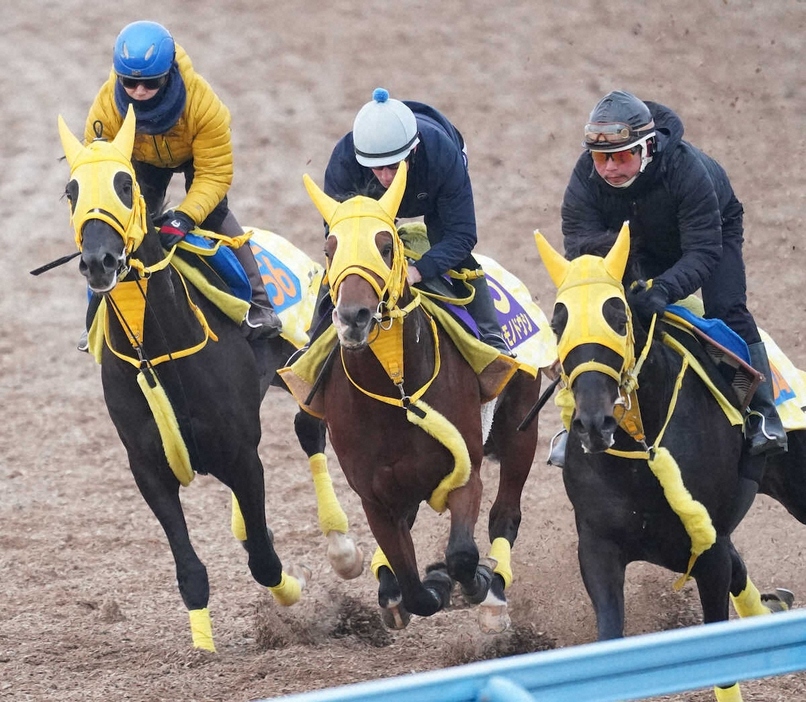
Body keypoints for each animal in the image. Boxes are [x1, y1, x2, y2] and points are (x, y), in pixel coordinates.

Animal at [57, 106, 318, 656]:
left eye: (126, 184)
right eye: (71, 191)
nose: (98, 262)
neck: (156, 350)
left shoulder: (242, 456)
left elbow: (264, 561)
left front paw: (293, 591)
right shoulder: (147, 468)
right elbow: (191, 569)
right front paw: (203, 648)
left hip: (305, 360)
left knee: (313, 429)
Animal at [294, 162, 548, 636]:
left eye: (385, 244)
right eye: (329, 248)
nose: (353, 317)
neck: (396, 394)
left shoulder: (465, 472)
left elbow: (463, 555)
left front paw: (464, 581)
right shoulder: (374, 497)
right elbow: (413, 586)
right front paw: (414, 587)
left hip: (522, 424)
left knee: (505, 515)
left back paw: (494, 597)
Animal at [532, 226, 804, 702]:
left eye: (618, 317)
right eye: (557, 323)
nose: (593, 422)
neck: (640, 458)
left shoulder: (709, 550)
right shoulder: (599, 549)